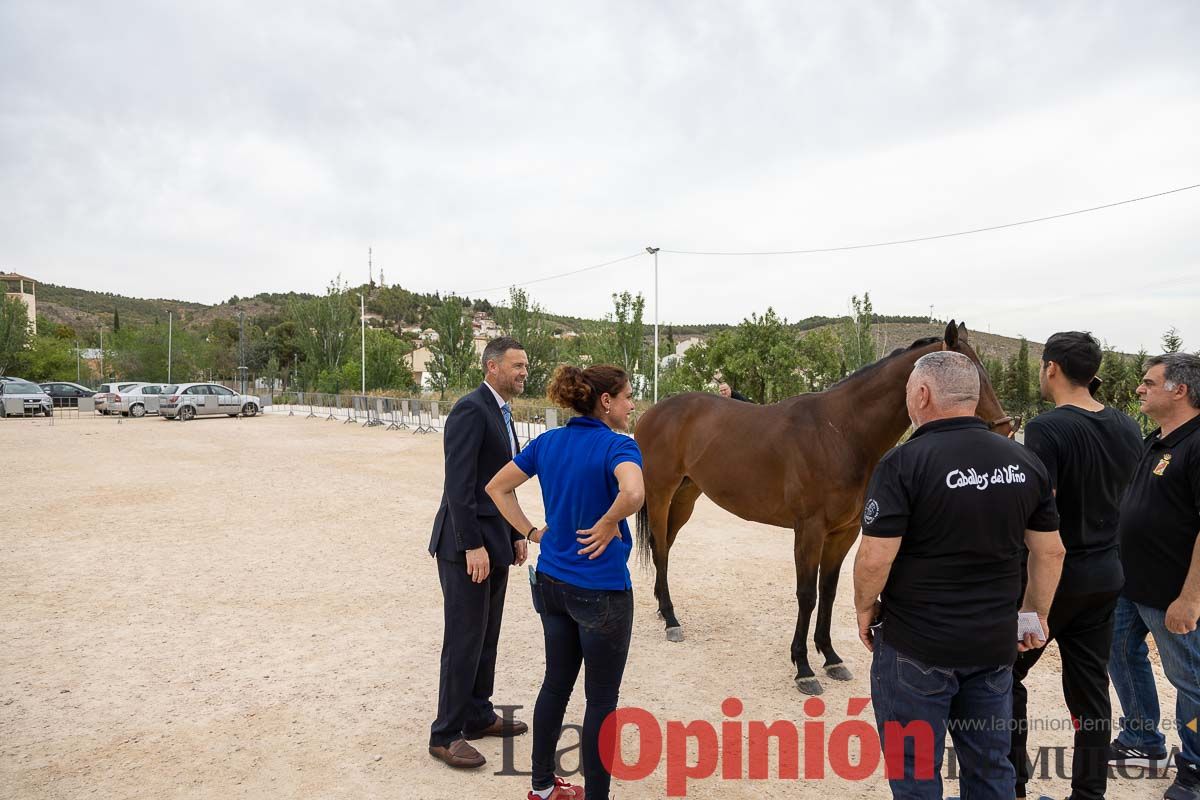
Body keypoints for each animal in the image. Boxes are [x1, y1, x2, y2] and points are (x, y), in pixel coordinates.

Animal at [633, 321, 1017, 695]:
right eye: (975, 378)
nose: (1005, 431)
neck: (839, 432)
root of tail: (653, 412)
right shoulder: (809, 530)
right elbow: (807, 595)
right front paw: (803, 668)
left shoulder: (844, 533)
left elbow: (829, 593)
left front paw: (831, 658)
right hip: (661, 493)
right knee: (660, 548)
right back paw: (671, 619)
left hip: (687, 496)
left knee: (664, 545)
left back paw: (662, 609)